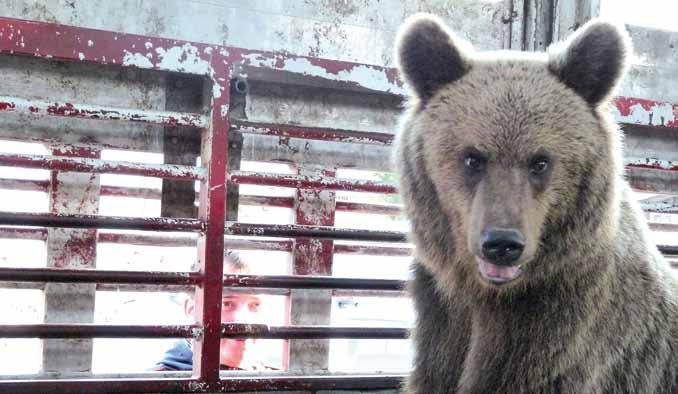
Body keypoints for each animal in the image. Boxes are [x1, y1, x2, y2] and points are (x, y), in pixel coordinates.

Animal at [394, 12, 678, 394]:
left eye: (541, 161)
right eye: (473, 158)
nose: (502, 243)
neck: (490, 296)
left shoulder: (558, 331)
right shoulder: (441, 318)